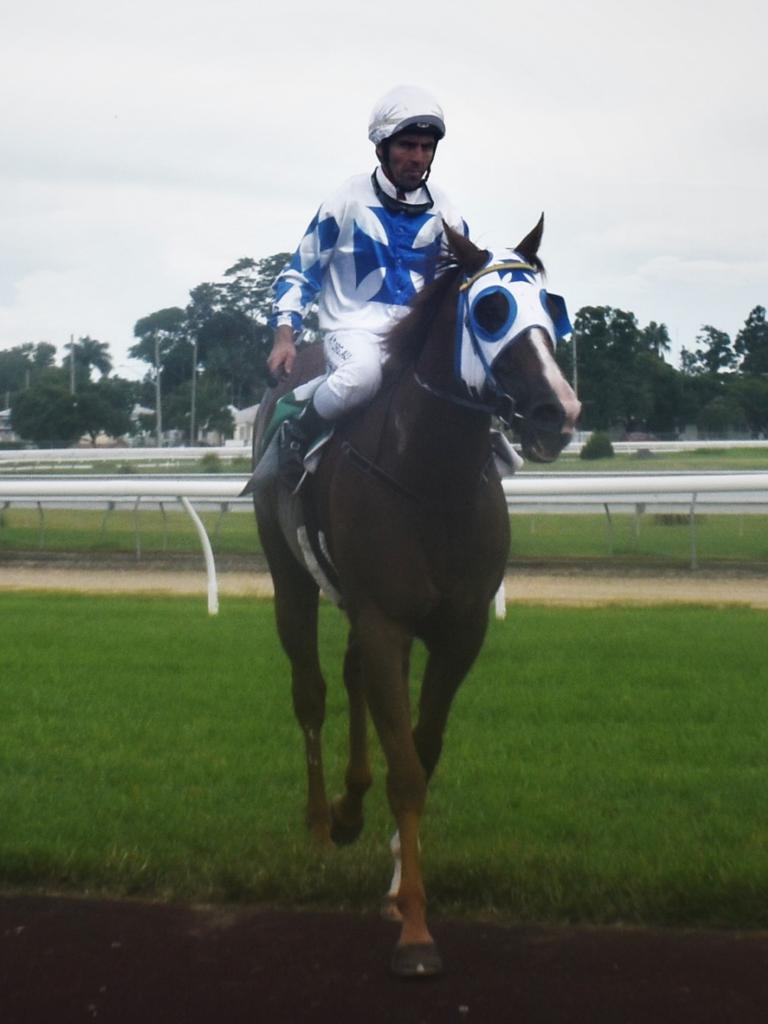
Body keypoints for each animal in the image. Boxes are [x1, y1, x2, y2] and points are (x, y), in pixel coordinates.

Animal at [252, 218, 581, 974]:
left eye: (551, 306)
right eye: (491, 309)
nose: (558, 410)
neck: (431, 482)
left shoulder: (459, 630)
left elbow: (421, 753)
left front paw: (400, 885)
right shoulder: (386, 620)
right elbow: (404, 765)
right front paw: (416, 930)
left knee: (352, 682)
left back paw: (349, 810)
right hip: (292, 580)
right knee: (311, 692)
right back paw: (321, 825)